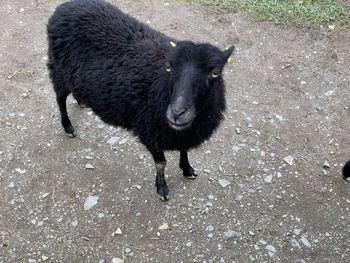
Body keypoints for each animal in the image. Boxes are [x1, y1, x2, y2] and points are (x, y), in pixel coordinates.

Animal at [46, 0, 232, 201]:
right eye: (169, 67)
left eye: (215, 73)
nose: (177, 113)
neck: (159, 86)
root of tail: (64, 7)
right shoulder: (149, 130)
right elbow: (161, 163)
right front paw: (162, 187)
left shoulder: (182, 132)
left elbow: (184, 149)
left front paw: (187, 169)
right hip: (59, 69)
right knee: (60, 99)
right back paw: (68, 127)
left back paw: (82, 101)